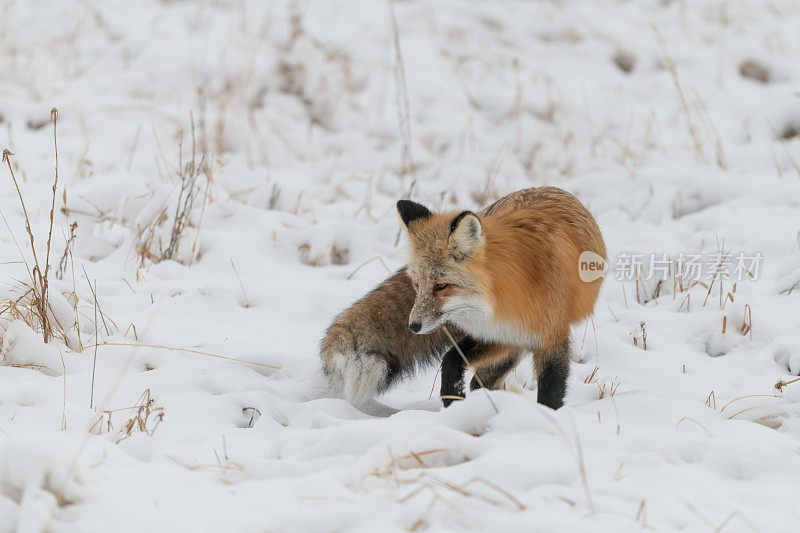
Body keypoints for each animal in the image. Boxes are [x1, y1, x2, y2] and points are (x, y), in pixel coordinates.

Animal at [320, 187, 608, 408]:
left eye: (441, 286)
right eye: (417, 285)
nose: (413, 326)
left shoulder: (551, 337)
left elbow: (551, 391)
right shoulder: (495, 333)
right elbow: (451, 360)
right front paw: (453, 402)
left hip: (513, 343)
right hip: (507, 344)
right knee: (479, 379)